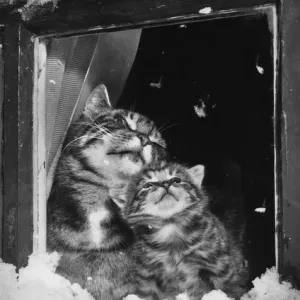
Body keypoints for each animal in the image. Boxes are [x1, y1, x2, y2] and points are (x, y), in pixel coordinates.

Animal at [112, 164, 248, 300]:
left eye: (176, 180)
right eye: (148, 185)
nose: (166, 183)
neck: (170, 225)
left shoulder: (217, 265)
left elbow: (223, 286)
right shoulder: (147, 271)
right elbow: (148, 291)